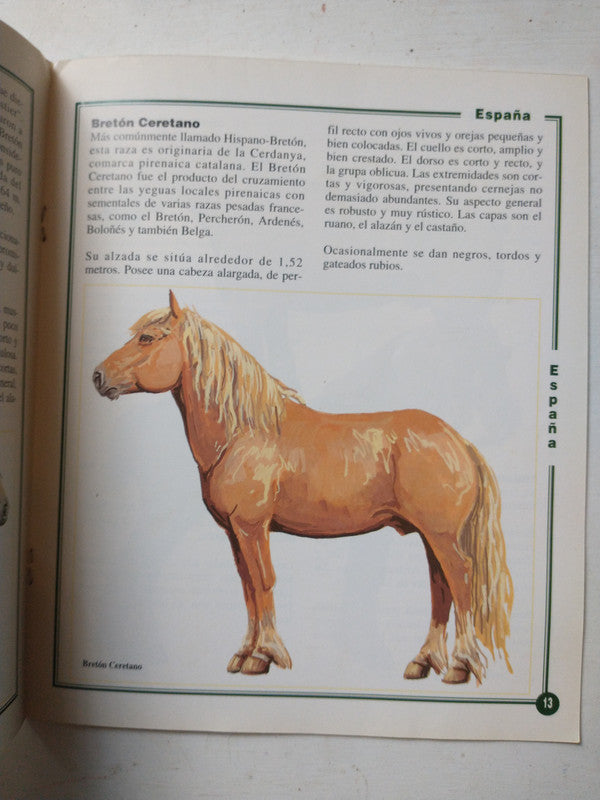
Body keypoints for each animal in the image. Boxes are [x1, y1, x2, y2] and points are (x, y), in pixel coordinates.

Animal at [93, 291, 513, 685]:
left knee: (461, 580)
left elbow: (263, 584)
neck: (242, 433)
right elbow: (248, 588)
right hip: (432, 536)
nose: (97, 376)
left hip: (442, 536)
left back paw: (459, 666)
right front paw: (243, 654)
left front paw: (263, 656)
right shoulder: (235, 533)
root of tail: (460, 441)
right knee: (441, 586)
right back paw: (423, 662)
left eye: (147, 338)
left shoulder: (252, 527)